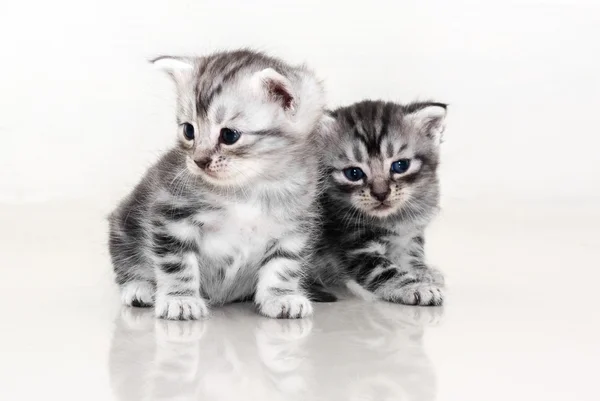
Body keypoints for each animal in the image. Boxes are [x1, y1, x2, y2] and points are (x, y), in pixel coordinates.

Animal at [107, 49, 324, 318]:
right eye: (189, 131)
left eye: (229, 135)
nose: (199, 161)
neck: (250, 186)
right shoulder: (171, 214)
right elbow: (177, 264)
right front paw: (180, 299)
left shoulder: (294, 226)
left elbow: (283, 265)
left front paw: (281, 297)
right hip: (123, 224)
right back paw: (139, 288)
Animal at [314, 101, 446, 306]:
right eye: (353, 173)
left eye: (401, 166)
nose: (381, 193)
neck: (392, 219)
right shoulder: (354, 245)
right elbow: (385, 272)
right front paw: (415, 287)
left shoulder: (410, 235)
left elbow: (411, 255)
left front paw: (423, 272)